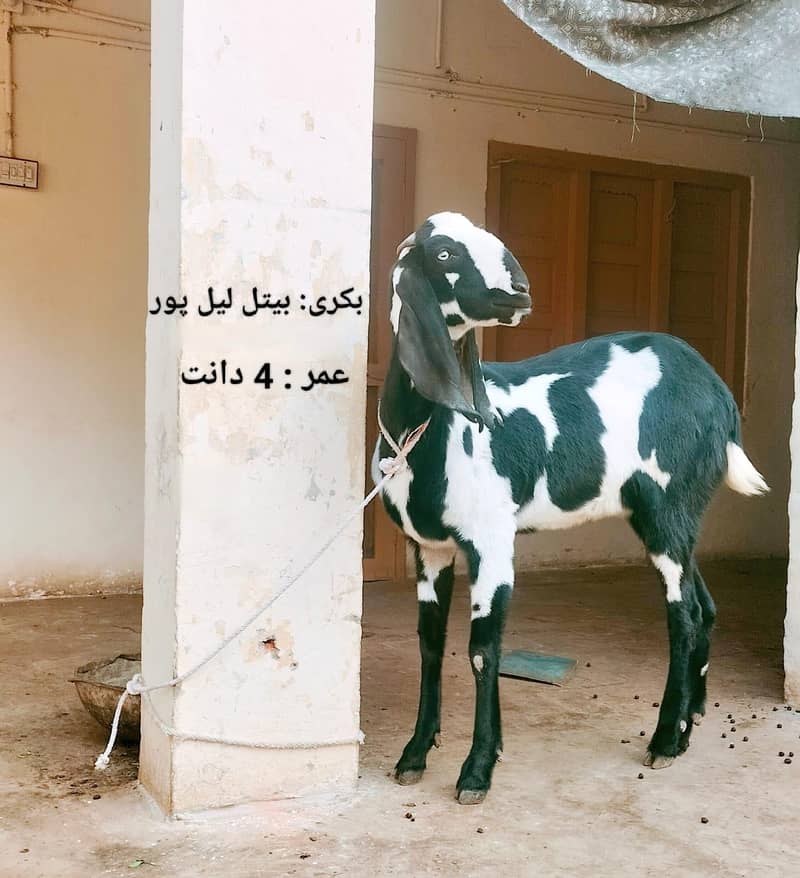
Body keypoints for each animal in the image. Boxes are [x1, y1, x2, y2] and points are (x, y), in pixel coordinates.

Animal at [373, 211, 768, 805]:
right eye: (444, 254)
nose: (519, 289)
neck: (422, 432)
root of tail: (720, 396)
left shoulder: (491, 543)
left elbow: (482, 650)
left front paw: (477, 771)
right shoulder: (428, 549)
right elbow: (430, 645)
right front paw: (416, 754)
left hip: (665, 508)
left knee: (685, 615)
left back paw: (663, 741)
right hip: (678, 516)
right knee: (706, 604)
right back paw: (686, 726)